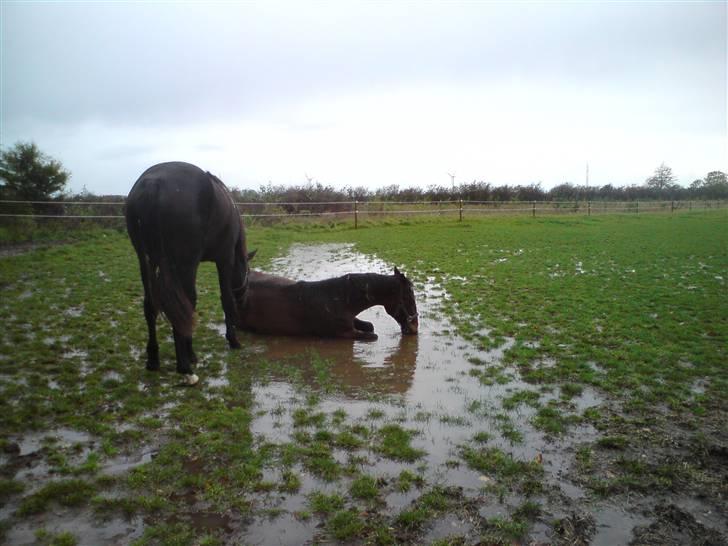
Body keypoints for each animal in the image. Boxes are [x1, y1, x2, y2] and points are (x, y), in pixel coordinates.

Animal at [123, 162, 252, 382]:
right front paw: (233, 340)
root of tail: (153, 184)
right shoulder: (224, 259)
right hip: (186, 265)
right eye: (248, 276)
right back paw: (185, 366)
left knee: (151, 307)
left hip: (145, 262)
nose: (243, 302)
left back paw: (154, 360)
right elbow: (225, 298)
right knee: (184, 306)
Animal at [239, 266, 418, 338]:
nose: (415, 328)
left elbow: (369, 326)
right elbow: (372, 335)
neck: (340, 299)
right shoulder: (345, 333)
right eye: (408, 295)